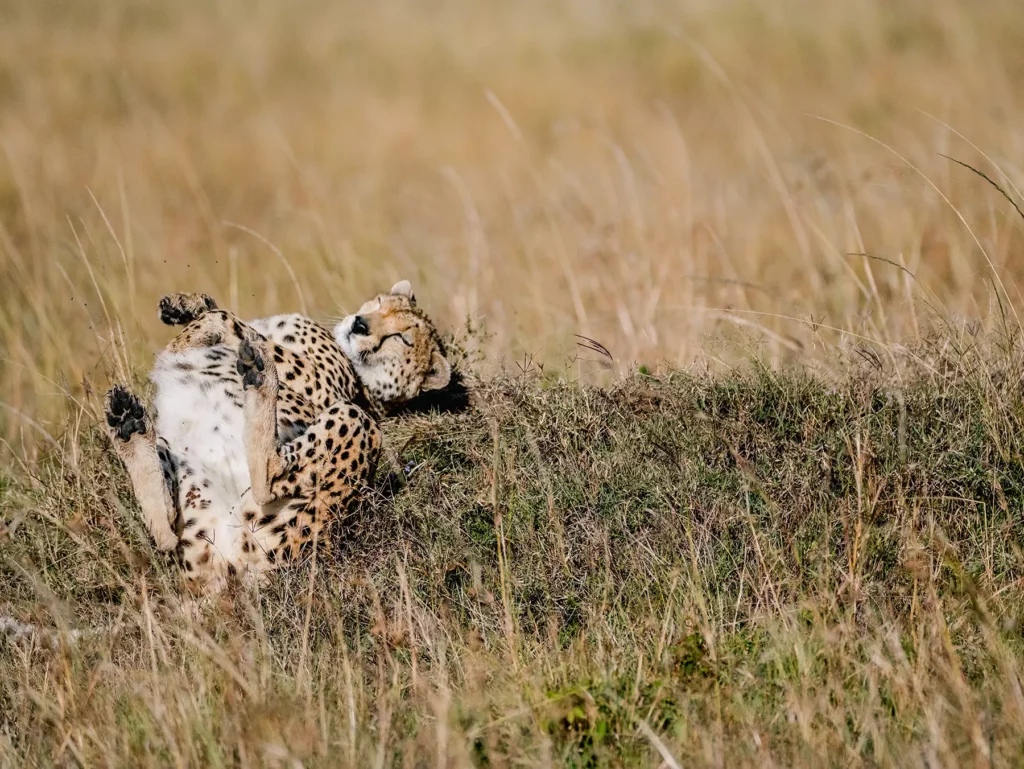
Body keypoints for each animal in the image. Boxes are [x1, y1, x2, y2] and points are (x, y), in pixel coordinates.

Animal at [104, 280, 452, 595]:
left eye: (401, 338)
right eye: (379, 304)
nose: (360, 324)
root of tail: (232, 571)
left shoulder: (320, 388)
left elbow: (235, 322)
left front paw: (194, 333)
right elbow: (224, 313)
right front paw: (183, 306)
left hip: (349, 433)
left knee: (268, 477)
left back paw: (259, 376)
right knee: (164, 532)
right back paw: (128, 425)